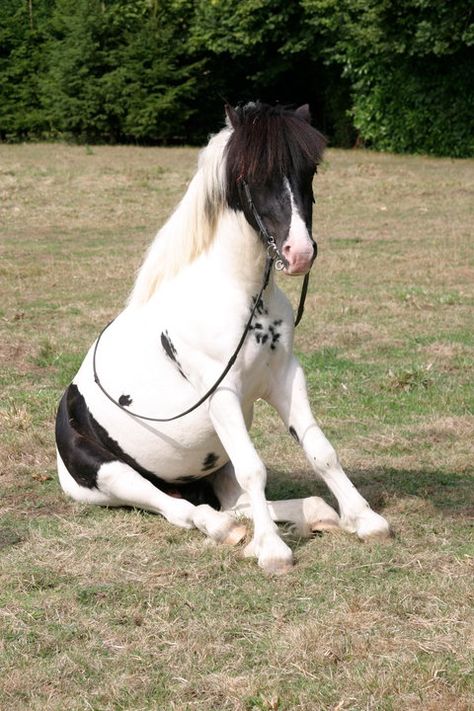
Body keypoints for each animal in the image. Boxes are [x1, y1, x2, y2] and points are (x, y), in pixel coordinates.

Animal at [54, 103, 388, 576]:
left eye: (310, 169)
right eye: (252, 174)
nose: (299, 253)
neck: (239, 293)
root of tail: (66, 410)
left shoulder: (285, 377)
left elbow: (321, 451)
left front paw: (365, 519)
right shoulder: (222, 394)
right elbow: (254, 469)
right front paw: (271, 551)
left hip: (213, 465)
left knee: (234, 502)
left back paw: (312, 512)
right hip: (111, 476)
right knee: (181, 509)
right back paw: (224, 529)